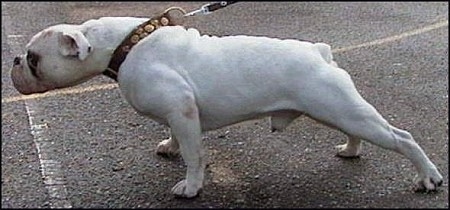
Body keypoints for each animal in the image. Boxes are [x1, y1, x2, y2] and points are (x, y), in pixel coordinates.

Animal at [10, 16, 442, 197]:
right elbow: (176, 138)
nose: (14, 60)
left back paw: (428, 178)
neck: (123, 43)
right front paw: (169, 147)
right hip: (336, 109)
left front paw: (191, 186)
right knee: (355, 132)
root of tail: (319, 52)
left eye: (33, 58)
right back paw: (350, 151)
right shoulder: (177, 113)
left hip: (344, 108)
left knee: (402, 138)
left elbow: (194, 155)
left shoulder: (182, 110)